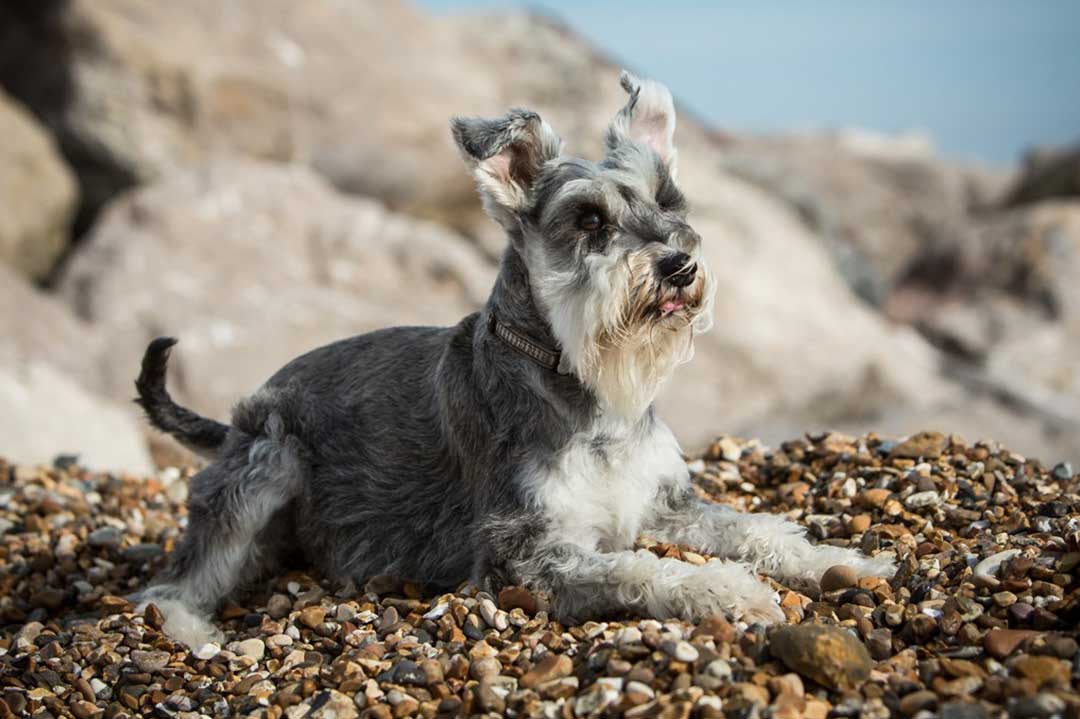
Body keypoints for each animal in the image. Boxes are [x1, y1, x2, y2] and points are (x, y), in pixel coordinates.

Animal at [135, 71, 894, 643]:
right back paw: (191, 632)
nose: (679, 266)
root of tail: (232, 425)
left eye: (667, 202)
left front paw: (841, 561)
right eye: (589, 219)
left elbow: (757, 526)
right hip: (267, 464)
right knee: (170, 585)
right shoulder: (526, 551)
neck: (586, 393)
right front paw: (728, 590)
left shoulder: (669, 505)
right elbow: (643, 570)